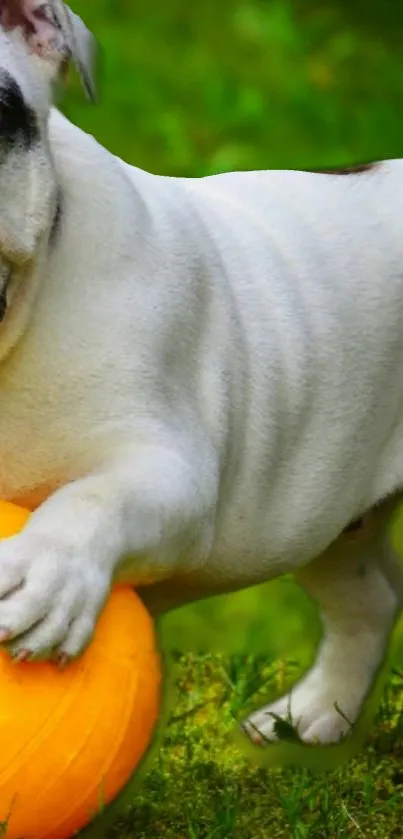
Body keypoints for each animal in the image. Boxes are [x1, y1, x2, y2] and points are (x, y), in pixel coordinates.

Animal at [0, 0, 403, 748]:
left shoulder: (172, 471)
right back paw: (313, 717)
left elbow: (97, 497)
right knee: (366, 595)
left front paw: (47, 572)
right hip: (331, 512)